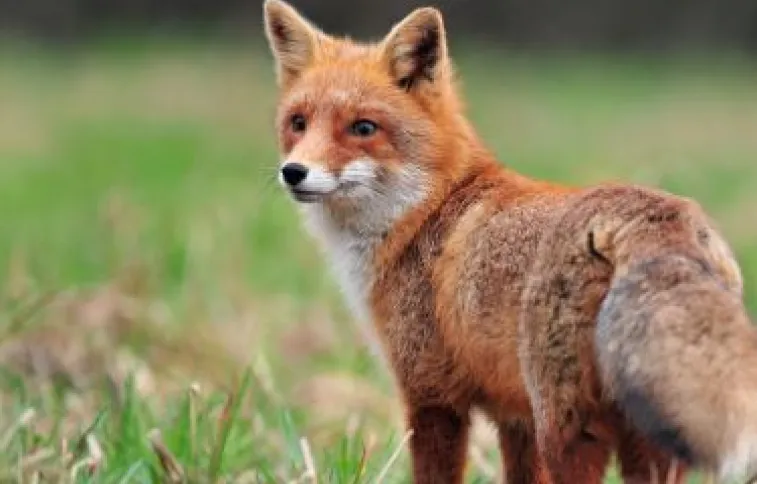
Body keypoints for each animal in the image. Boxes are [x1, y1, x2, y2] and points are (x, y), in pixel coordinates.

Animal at [261, 1, 757, 483]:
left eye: (363, 128)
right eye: (298, 123)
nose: (294, 172)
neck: (428, 211)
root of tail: (655, 216)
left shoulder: (432, 396)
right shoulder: (515, 417)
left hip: (569, 429)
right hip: (642, 438)